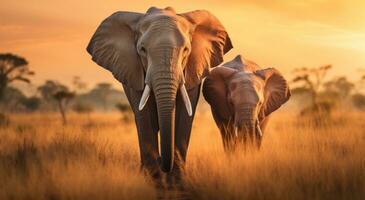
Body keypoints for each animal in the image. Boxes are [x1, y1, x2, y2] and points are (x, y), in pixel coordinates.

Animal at [86, 7, 232, 180]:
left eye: (186, 50)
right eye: (142, 50)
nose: (160, 158)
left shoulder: (193, 70)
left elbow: (184, 115)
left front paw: (177, 179)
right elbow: (145, 115)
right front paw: (153, 178)